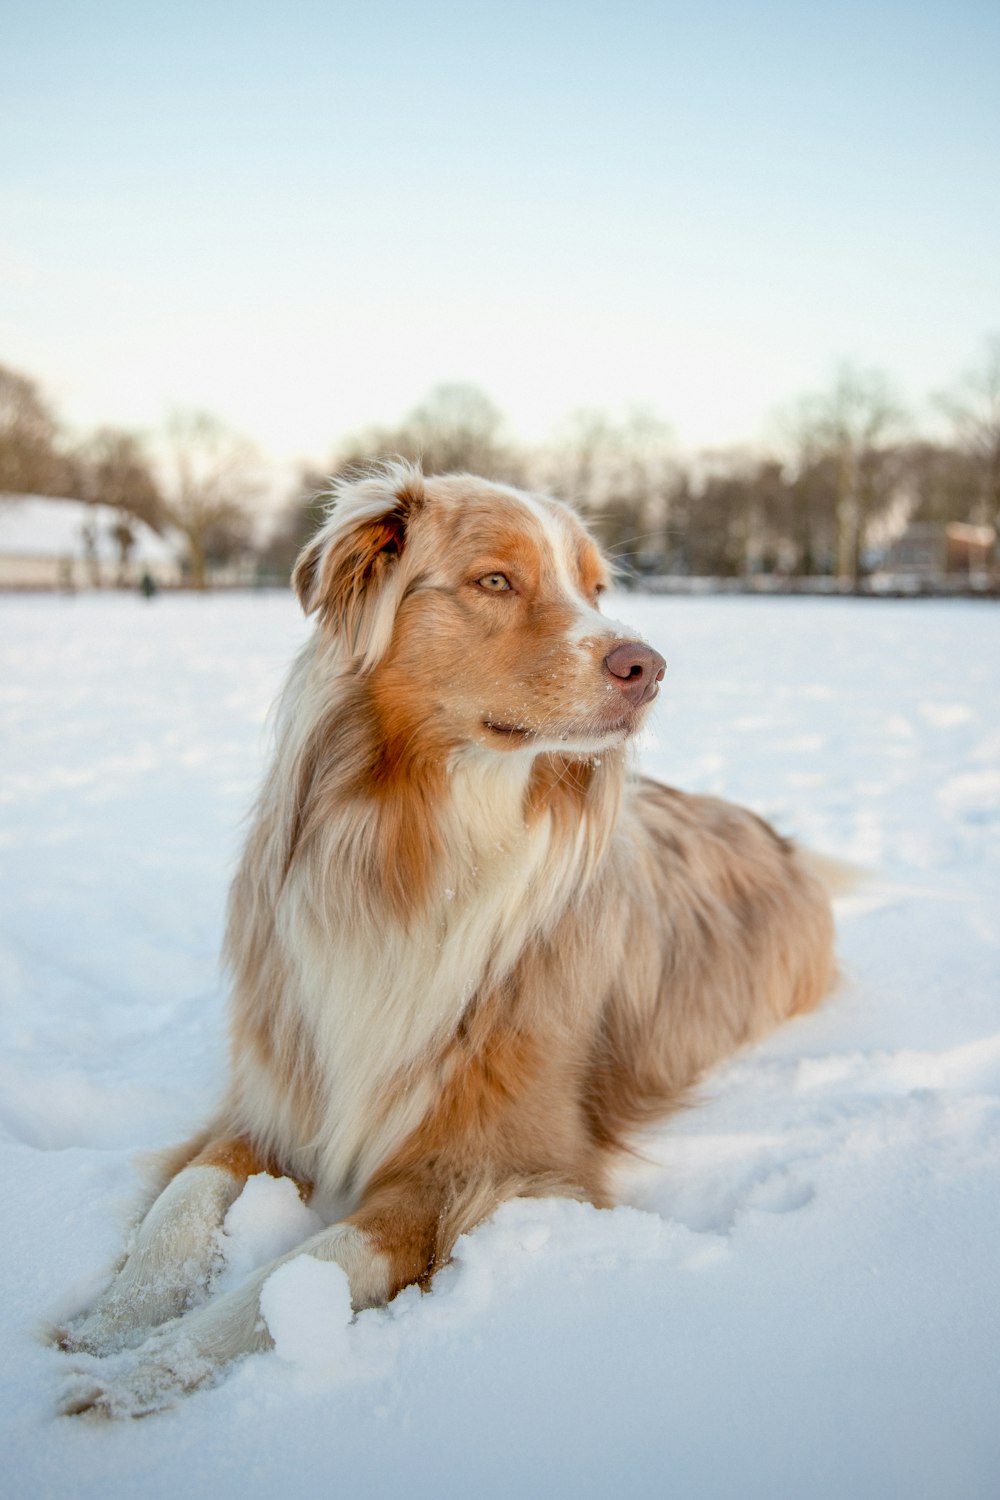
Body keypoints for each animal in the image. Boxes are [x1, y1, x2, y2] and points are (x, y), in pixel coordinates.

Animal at [54, 462, 839, 1410]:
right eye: (495, 581)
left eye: (596, 589)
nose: (647, 666)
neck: (433, 845)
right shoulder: (280, 1096)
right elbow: (183, 1196)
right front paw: (114, 1324)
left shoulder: (493, 1166)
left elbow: (308, 1268)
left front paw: (149, 1372)